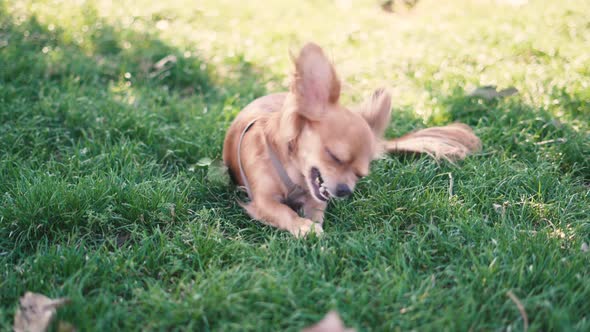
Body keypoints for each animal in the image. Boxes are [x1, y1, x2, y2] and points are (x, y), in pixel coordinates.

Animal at [224, 42, 484, 237]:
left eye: (360, 175)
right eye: (334, 156)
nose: (344, 191)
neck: (292, 175)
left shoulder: (315, 197)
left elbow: (317, 208)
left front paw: (311, 223)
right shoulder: (262, 201)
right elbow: (283, 212)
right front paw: (301, 226)